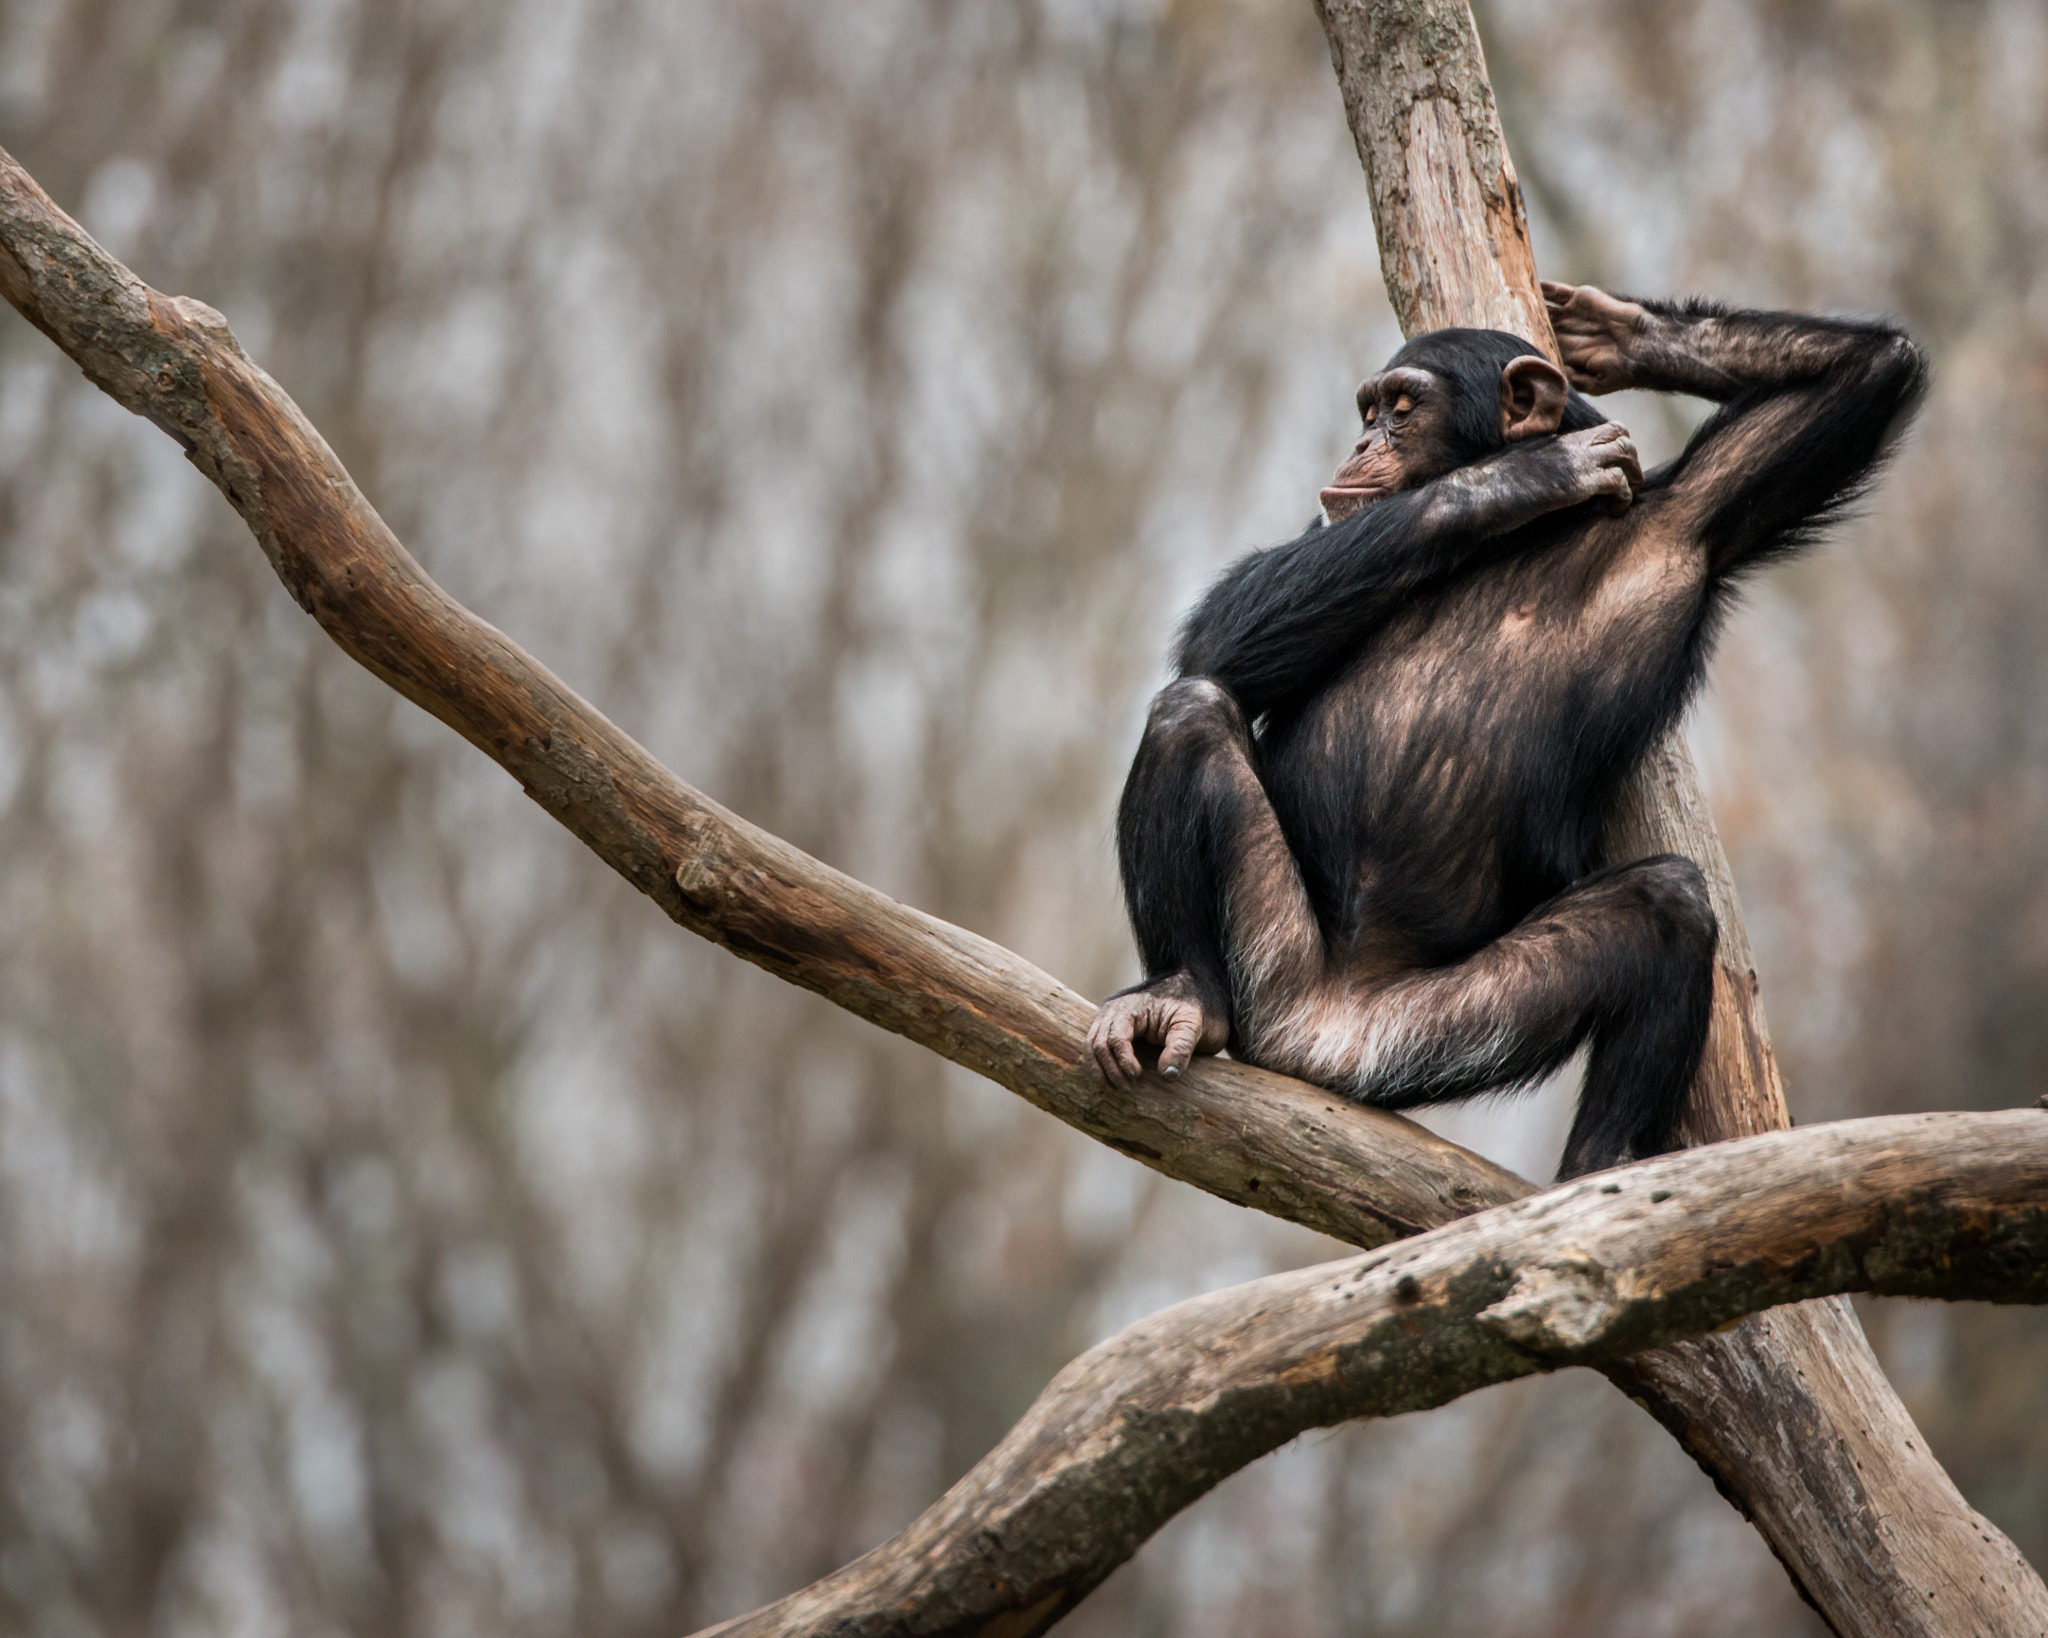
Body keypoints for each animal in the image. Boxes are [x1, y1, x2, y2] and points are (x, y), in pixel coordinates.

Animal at [1087, 283, 1925, 1178]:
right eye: (1369, 410)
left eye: (1402, 407)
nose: (1360, 441)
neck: (1520, 544)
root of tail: (1320, 1033)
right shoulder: (1333, 530)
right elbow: (1224, 631)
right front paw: (1519, 476)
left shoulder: (1697, 514)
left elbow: (1864, 375)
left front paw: (1624, 334)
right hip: (1275, 962)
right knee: (1190, 712)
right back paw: (1182, 996)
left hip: (1440, 1029)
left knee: (1667, 905)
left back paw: (1598, 1172)